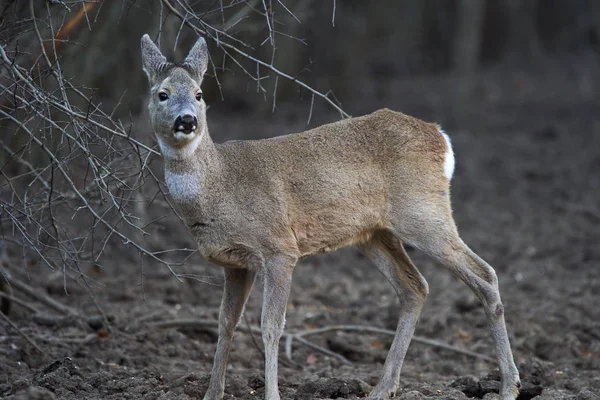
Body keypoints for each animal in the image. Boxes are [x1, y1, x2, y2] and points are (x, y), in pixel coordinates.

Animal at [141, 34, 520, 400]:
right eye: (162, 94)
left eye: (199, 94)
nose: (187, 120)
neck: (219, 185)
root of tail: (440, 136)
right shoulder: (235, 263)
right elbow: (226, 322)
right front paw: (212, 393)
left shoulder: (280, 247)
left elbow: (271, 326)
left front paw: (272, 394)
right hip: (374, 233)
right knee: (415, 287)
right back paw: (383, 389)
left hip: (423, 212)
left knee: (485, 275)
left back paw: (508, 386)